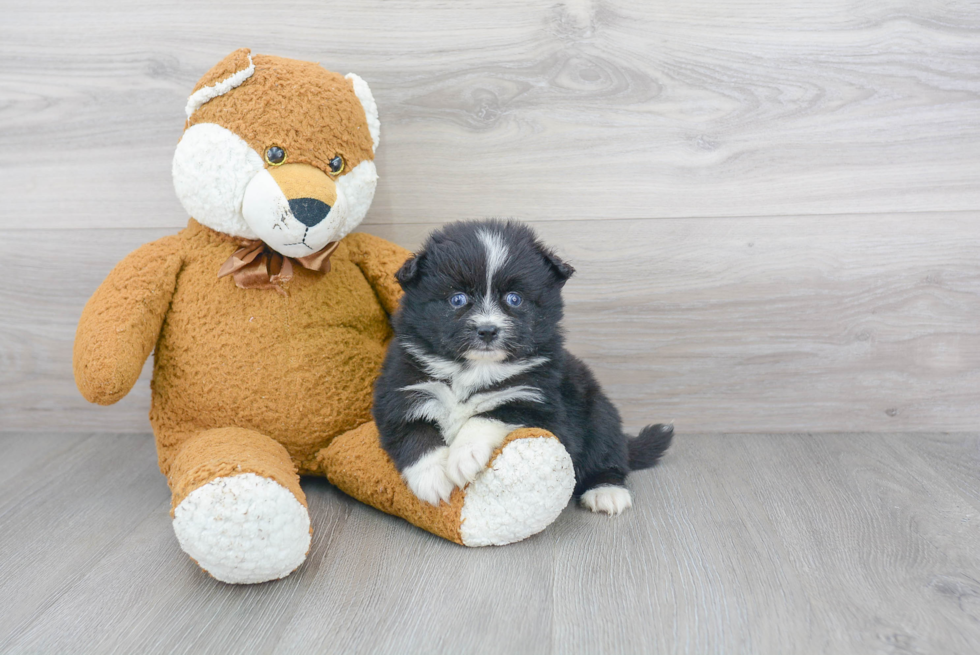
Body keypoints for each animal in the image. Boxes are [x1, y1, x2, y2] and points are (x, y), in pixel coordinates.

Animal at [372, 222, 668, 516]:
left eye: (514, 299)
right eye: (457, 299)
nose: (487, 330)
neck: (474, 369)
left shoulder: (539, 403)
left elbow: (489, 414)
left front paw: (464, 455)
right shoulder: (401, 391)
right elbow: (414, 433)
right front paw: (432, 477)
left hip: (599, 414)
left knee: (608, 453)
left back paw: (606, 490)